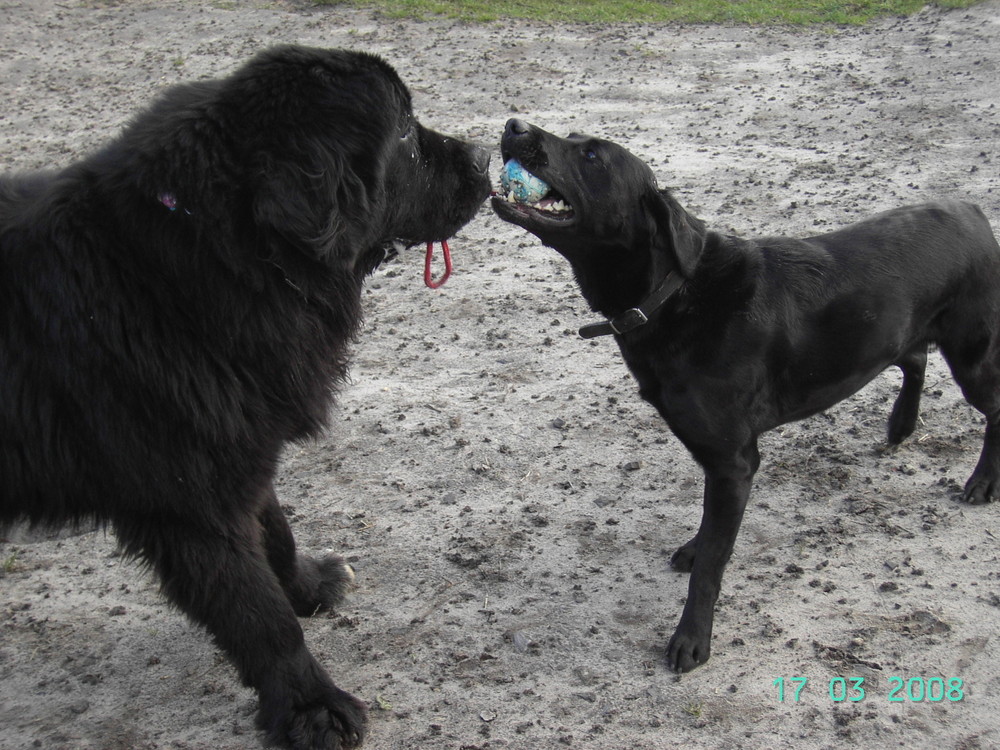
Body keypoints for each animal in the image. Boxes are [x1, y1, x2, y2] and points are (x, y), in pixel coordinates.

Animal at [0, 48, 492, 750]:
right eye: (403, 131)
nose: (484, 155)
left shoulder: (240, 445)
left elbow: (276, 533)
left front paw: (308, 585)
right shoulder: (191, 503)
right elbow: (257, 616)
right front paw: (313, 707)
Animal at [492, 119, 1000, 676]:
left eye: (593, 156)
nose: (514, 125)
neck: (672, 292)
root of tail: (972, 211)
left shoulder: (734, 461)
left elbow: (712, 565)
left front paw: (691, 639)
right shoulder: (716, 461)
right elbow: (708, 533)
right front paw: (696, 547)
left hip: (972, 355)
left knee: (992, 406)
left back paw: (982, 482)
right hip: (899, 332)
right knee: (913, 358)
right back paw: (901, 426)